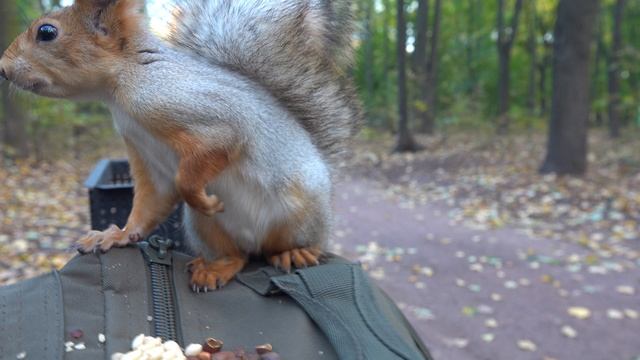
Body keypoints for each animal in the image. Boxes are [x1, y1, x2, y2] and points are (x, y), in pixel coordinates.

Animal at [0, 0, 360, 292]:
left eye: (47, 32)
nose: (2, 69)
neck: (121, 83)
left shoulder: (192, 110)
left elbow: (201, 162)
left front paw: (202, 197)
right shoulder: (142, 150)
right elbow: (152, 200)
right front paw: (116, 235)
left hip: (300, 214)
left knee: (287, 246)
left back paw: (295, 251)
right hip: (205, 227)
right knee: (239, 256)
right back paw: (216, 267)